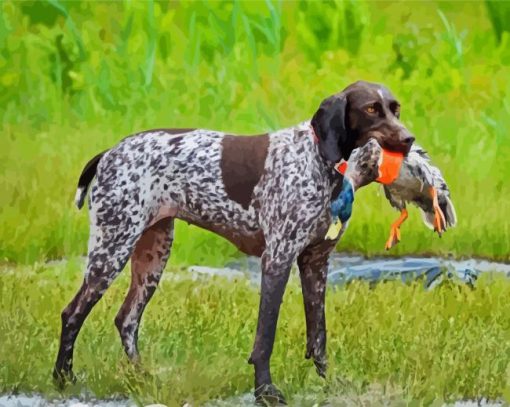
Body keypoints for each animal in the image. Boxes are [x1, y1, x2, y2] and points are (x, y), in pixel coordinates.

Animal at [54, 80, 414, 404]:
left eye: (395, 108)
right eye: (371, 109)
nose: (409, 139)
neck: (318, 161)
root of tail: (109, 153)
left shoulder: (315, 263)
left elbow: (318, 336)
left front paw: (326, 383)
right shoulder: (277, 260)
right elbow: (265, 338)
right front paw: (265, 391)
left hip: (152, 257)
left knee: (126, 320)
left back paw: (143, 378)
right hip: (111, 249)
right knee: (72, 313)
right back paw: (63, 378)